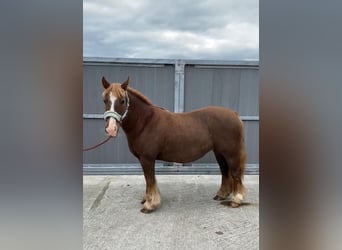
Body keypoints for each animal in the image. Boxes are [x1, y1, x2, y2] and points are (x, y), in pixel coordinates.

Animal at [101, 76, 246, 213]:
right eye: (105, 100)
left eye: (122, 101)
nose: (111, 129)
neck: (145, 122)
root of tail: (234, 114)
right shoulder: (147, 159)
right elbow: (151, 180)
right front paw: (148, 199)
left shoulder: (147, 159)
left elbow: (149, 180)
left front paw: (150, 205)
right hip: (219, 153)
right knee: (225, 171)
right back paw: (221, 195)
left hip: (231, 153)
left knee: (235, 173)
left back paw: (237, 200)